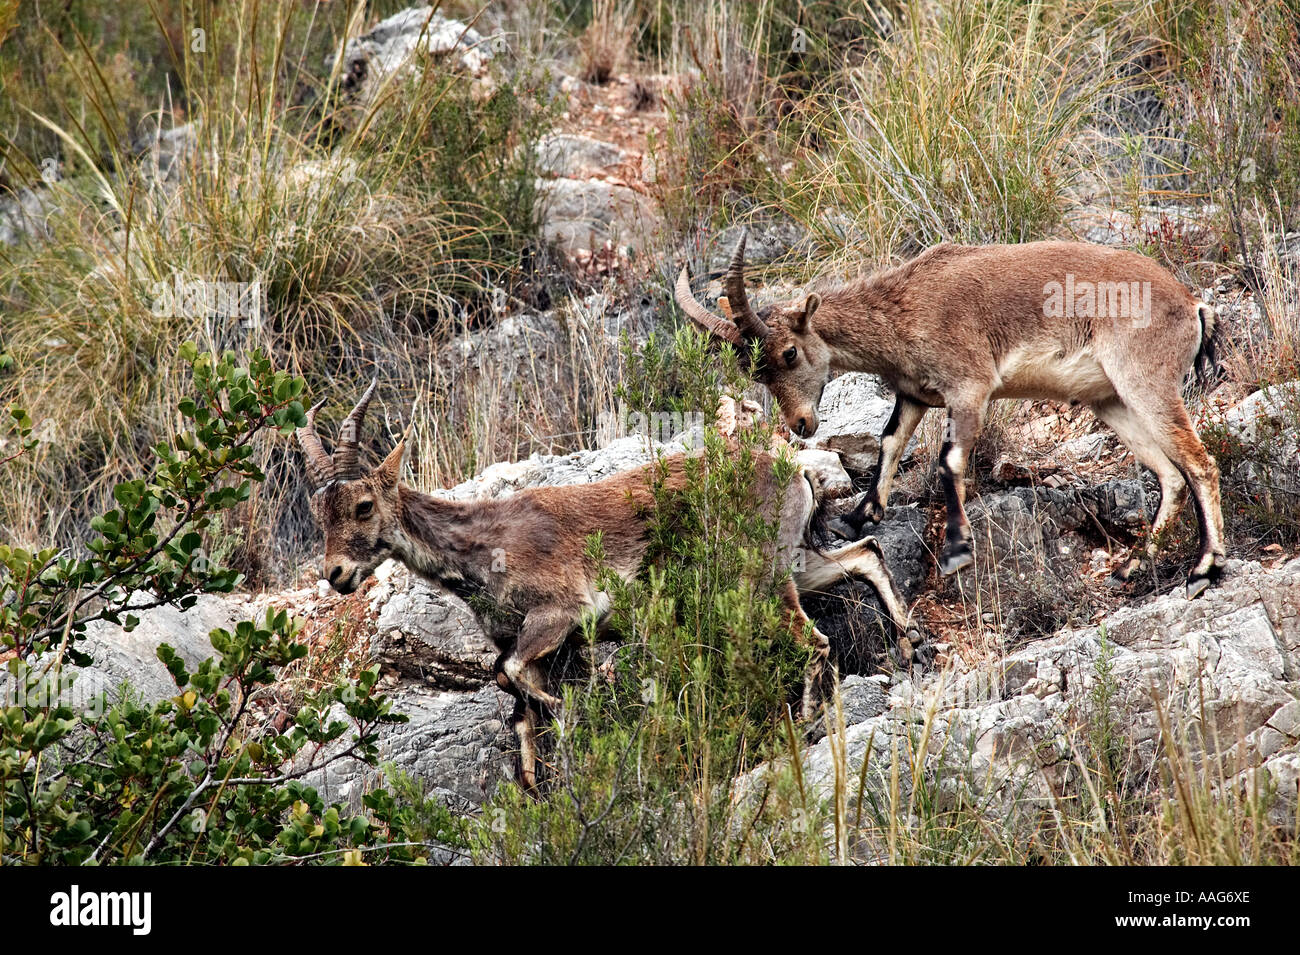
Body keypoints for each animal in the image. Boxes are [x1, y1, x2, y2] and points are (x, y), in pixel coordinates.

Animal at [298, 384, 921, 788]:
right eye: (317, 512)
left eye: (363, 504)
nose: (337, 576)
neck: (482, 547)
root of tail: (795, 471)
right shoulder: (522, 640)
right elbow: (515, 700)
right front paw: (536, 781)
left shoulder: (558, 613)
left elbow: (512, 675)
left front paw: (569, 707)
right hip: (794, 563)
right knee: (865, 554)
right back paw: (908, 641)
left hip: (761, 576)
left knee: (815, 640)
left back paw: (809, 719)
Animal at [676, 237, 1226, 598]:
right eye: (753, 369)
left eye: (789, 353)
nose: (801, 426)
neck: (903, 309)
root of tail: (1192, 304)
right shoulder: (915, 395)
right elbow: (890, 442)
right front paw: (858, 517)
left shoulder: (970, 388)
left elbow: (949, 460)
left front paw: (957, 550)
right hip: (1110, 401)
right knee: (1170, 475)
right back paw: (1131, 567)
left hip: (1145, 383)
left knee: (1200, 463)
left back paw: (1203, 569)